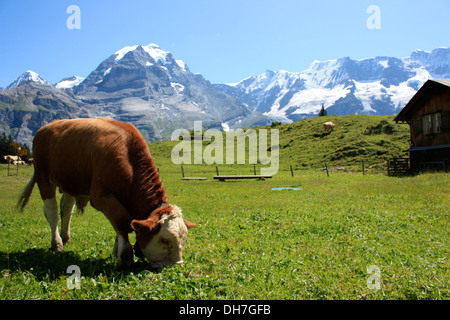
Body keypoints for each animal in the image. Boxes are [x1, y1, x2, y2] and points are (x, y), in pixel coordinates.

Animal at [17, 117, 195, 268]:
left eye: (184, 238)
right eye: (164, 240)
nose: (177, 264)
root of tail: (46, 127)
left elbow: (122, 222)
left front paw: (116, 251)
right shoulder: (100, 196)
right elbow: (122, 220)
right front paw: (125, 256)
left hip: (70, 182)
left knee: (66, 209)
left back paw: (65, 237)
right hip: (43, 177)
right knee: (51, 211)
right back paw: (57, 243)